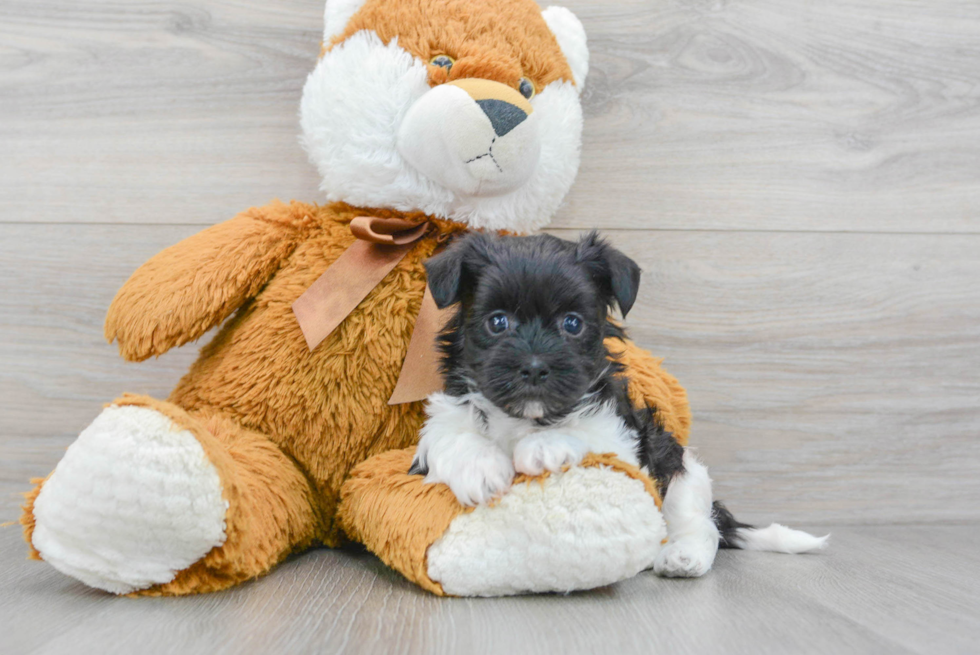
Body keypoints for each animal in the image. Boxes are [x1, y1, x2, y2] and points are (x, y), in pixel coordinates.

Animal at [410, 232, 832, 580]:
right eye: (498, 322)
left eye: (572, 324)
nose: (534, 366)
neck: (528, 417)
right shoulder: (443, 417)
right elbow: (452, 433)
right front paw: (480, 470)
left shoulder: (621, 436)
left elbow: (586, 435)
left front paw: (543, 447)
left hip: (679, 467)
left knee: (701, 524)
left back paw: (682, 556)